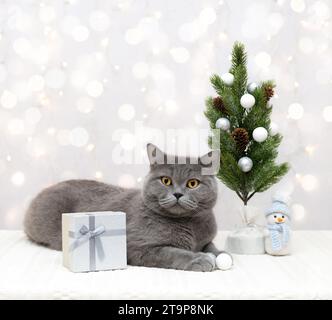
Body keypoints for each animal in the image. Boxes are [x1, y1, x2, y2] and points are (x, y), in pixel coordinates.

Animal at [23, 144, 226, 272]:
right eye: (166, 180)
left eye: (193, 183)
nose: (177, 194)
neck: (188, 224)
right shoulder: (138, 246)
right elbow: (171, 252)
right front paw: (199, 259)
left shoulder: (205, 237)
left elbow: (211, 245)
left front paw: (220, 254)